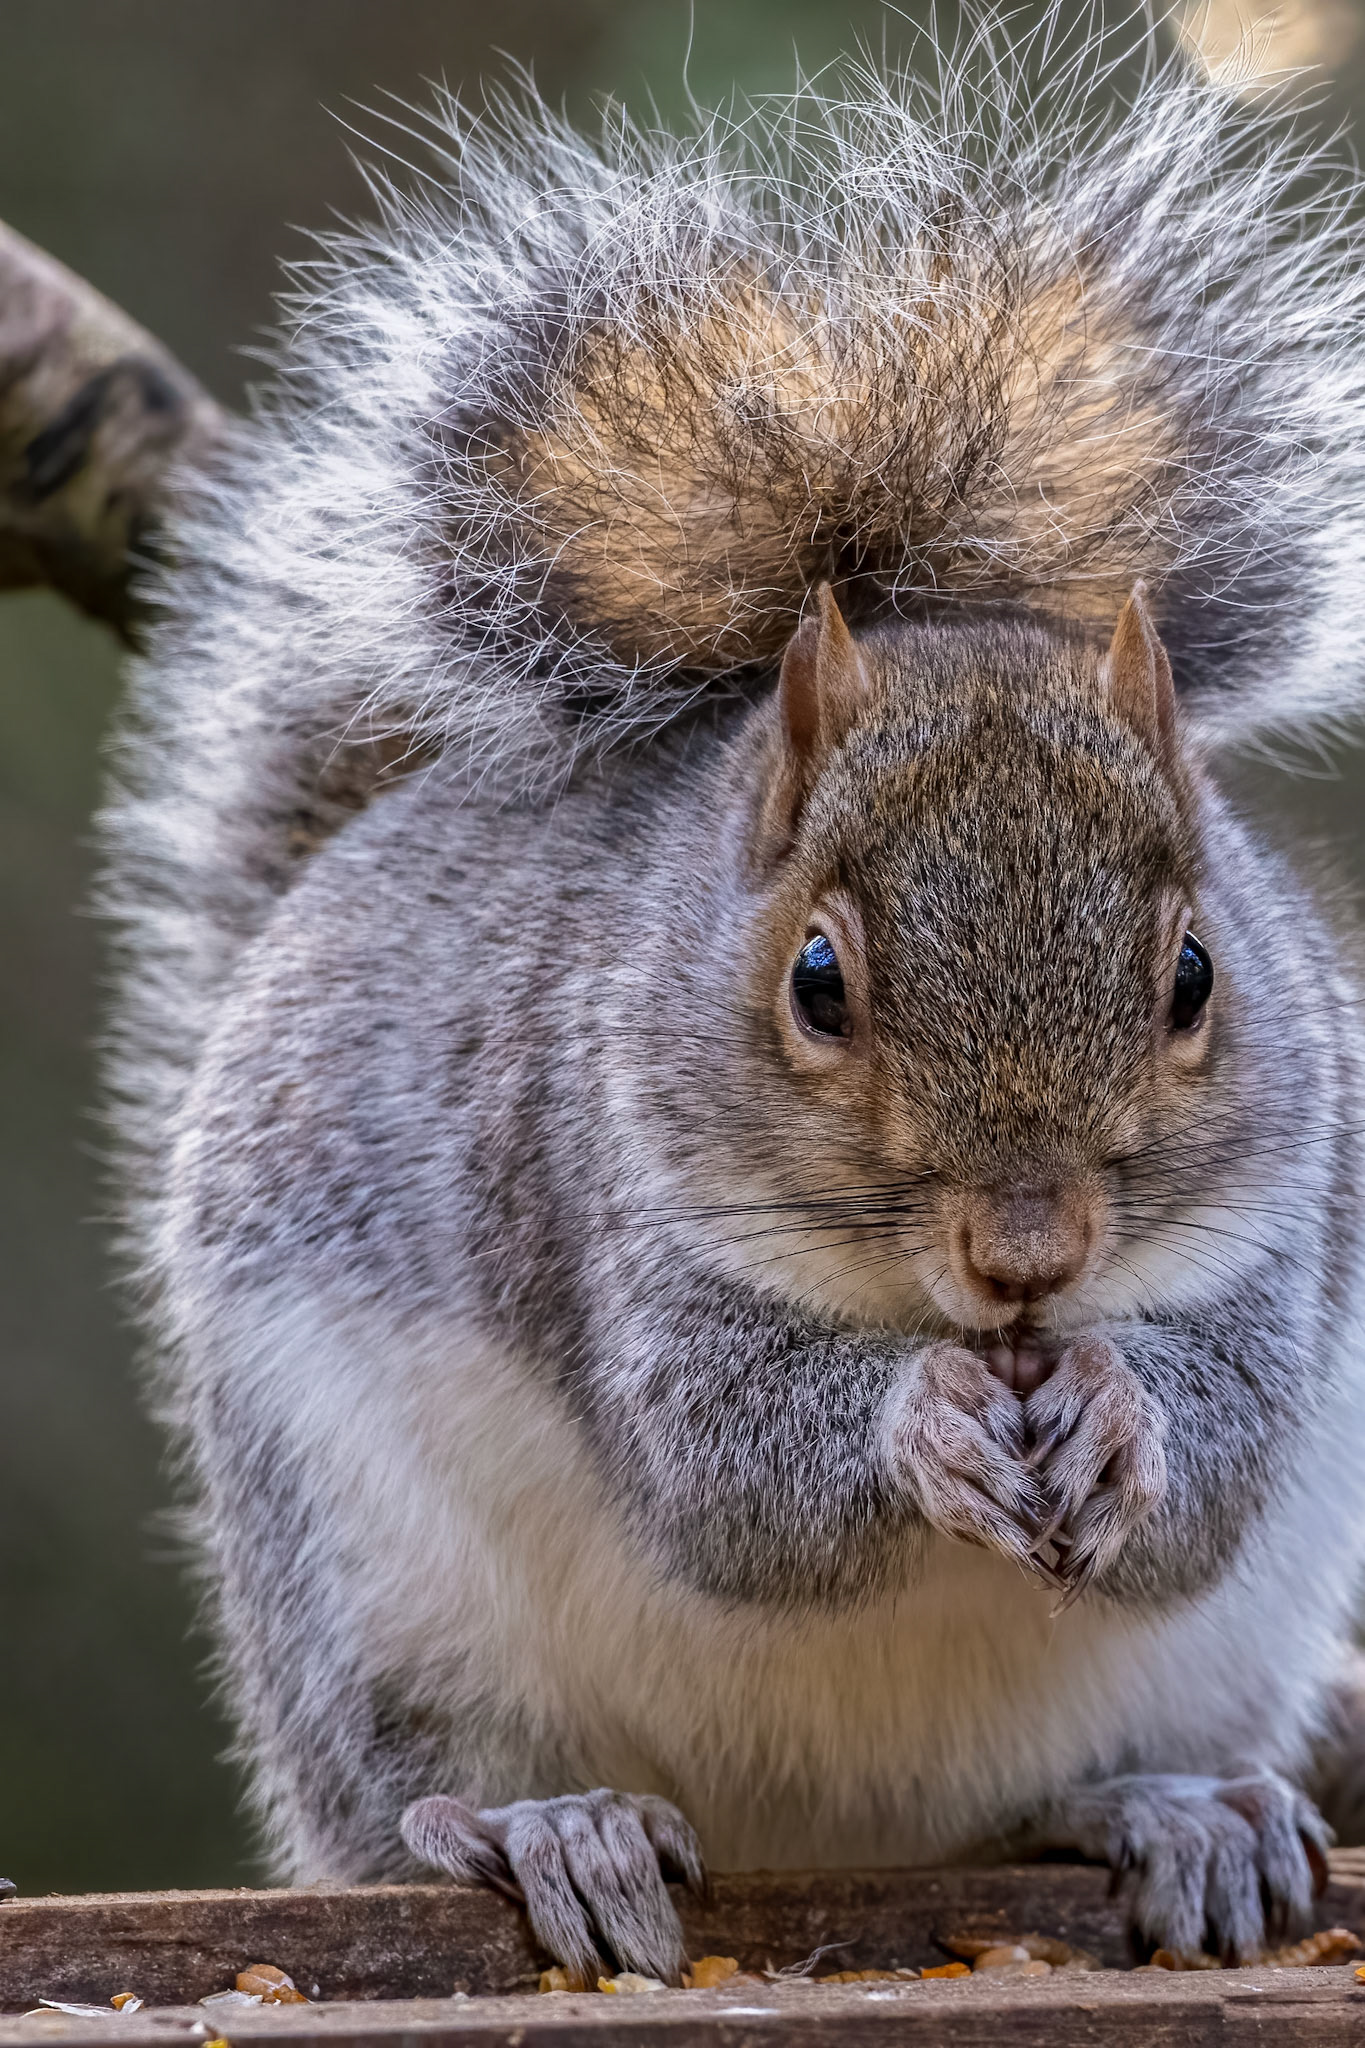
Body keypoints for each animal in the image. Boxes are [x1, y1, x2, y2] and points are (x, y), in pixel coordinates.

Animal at [99, 17, 1365, 1981]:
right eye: (817, 981)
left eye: (1195, 975)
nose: (1028, 1254)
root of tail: (817, 1847)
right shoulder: (582, 1184)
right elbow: (724, 1468)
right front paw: (918, 1424)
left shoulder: (1291, 1227)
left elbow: (1215, 1448)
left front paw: (1120, 1411)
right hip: (361, 1583)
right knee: (403, 1801)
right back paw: (547, 1826)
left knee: (1061, 1788)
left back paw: (1178, 1810)